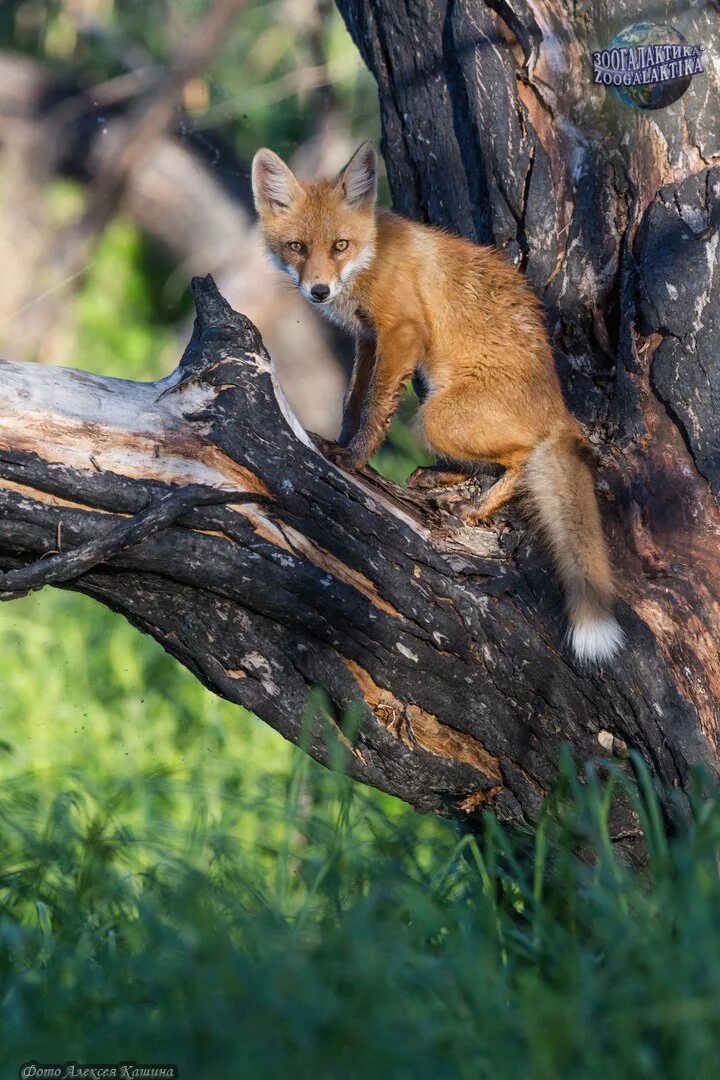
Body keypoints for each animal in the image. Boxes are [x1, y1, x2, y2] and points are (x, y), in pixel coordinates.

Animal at [250, 139, 621, 660]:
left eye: (340, 246)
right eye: (296, 248)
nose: (318, 291)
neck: (374, 255)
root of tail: (560, 408)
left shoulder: (401, 331)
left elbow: (375, 409)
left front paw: (353, 459)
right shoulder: (368, 339)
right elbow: (353, 401)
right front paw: (339, 443)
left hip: (436, 417)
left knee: (523, 457)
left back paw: (476, 507)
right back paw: (442, 478)